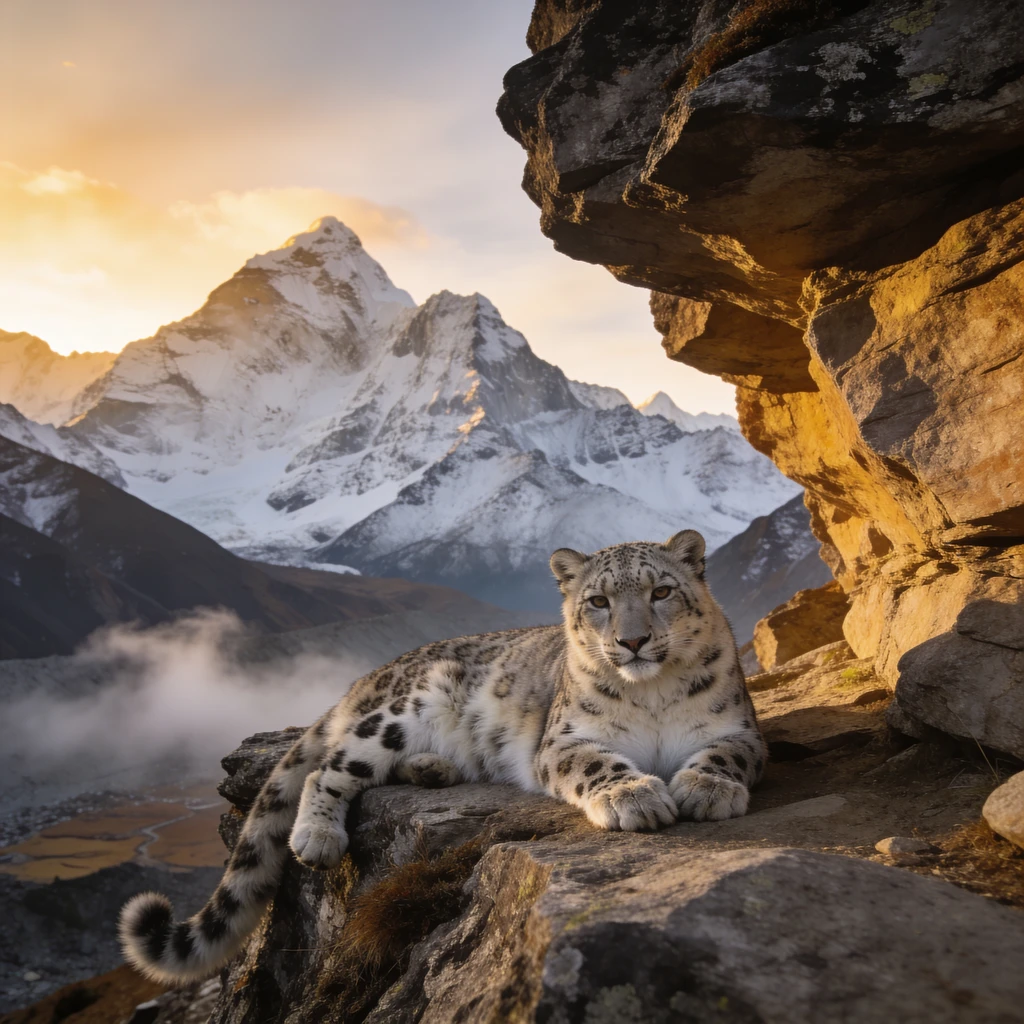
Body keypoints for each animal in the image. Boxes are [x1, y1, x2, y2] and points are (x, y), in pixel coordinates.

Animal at [120, 529, 766, 982]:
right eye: (599, 601)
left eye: (662, 591)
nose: (631, 642)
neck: (651, 695)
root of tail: (371, 674)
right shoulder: (562, 740)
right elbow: (597, 763)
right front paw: (636, 796)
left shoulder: (742, 728)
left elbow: (727, 754)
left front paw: (706, 789)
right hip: (402, 713)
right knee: (329, 768)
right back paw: (318, 837)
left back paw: (435, 769)